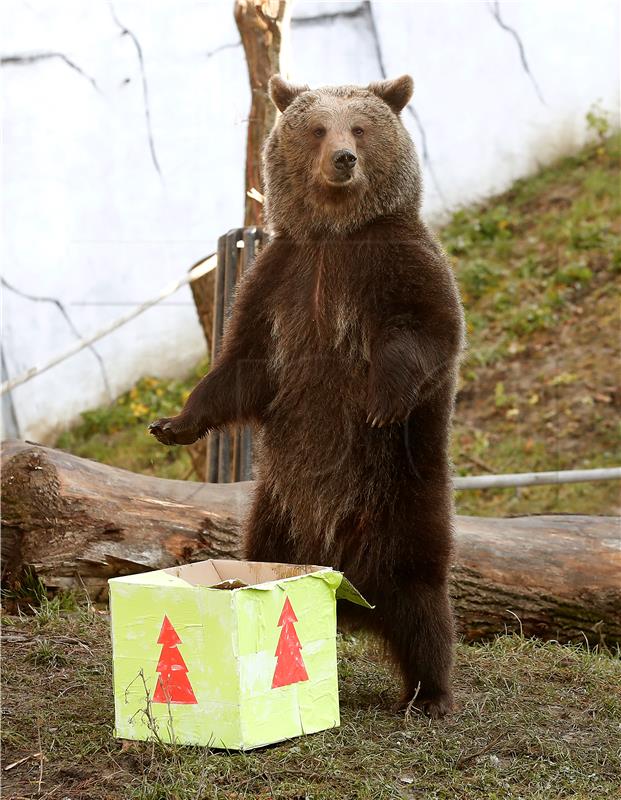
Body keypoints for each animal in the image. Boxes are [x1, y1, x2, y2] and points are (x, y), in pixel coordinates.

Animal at [149, 75, 460, 720]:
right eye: (318, 128)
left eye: (360, 127)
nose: (343, 159)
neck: (334, 235)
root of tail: (353, 597)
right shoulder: (279, 278)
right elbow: (241, 367)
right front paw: (175, 423)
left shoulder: (398, 264)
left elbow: (427, 332)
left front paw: (380, 399)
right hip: (276, 511)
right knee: (265, 551)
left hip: (402, 496)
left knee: (422, 600)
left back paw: (430, 693)